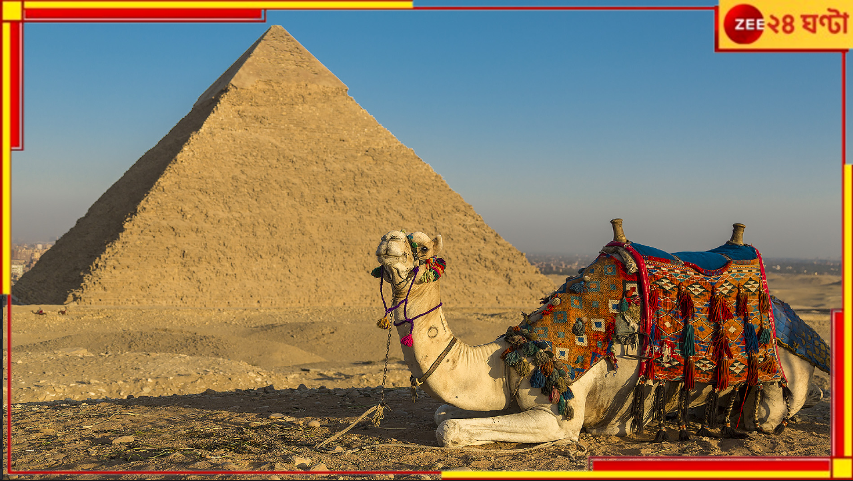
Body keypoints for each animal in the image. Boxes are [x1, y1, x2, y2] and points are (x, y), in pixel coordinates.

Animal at [373, 223, 828, 447]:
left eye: (423, 247)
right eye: (390, 234)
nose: (388, 240)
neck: (511, 357)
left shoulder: (559, 414)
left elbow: (448, 429)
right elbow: (442, 415)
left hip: (782, 377)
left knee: (771, 411)